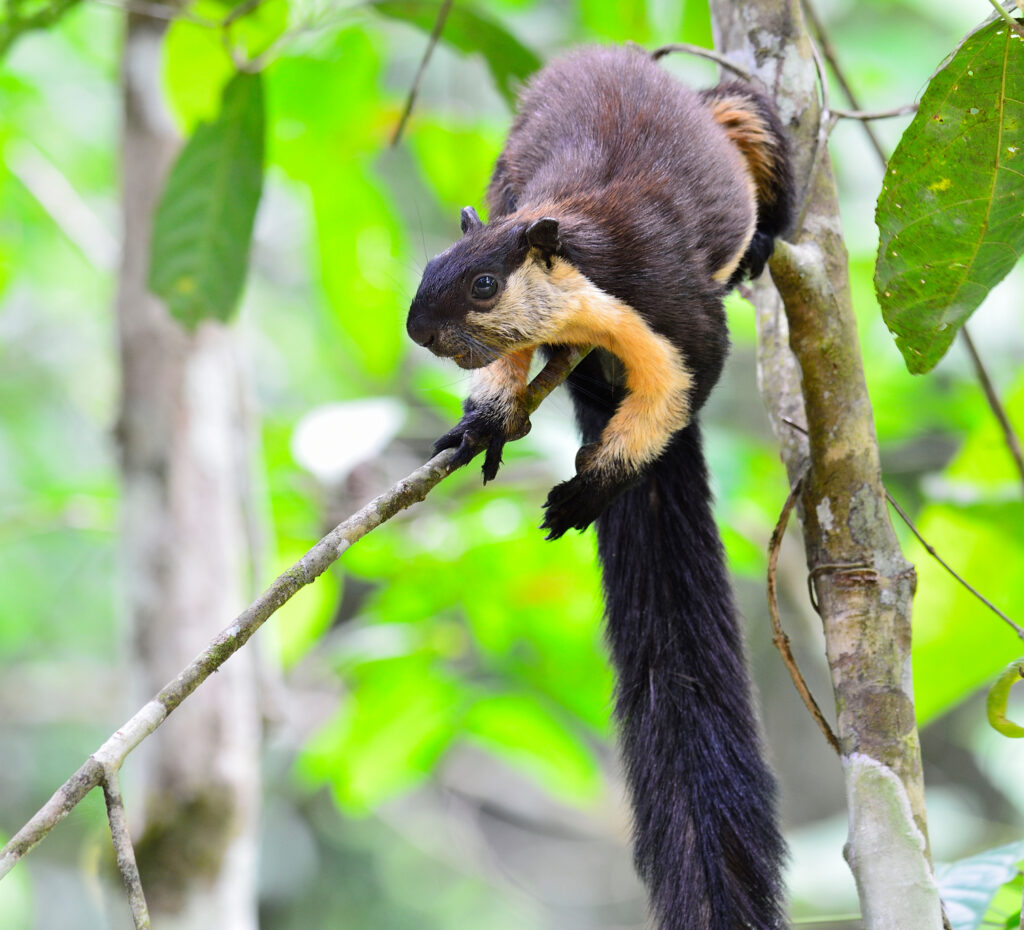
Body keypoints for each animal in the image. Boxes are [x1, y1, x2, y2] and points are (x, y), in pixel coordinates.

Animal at [407, 44, 793, 930]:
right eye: (429, 269)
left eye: (483, 285)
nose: (420, 330)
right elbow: (508, 379)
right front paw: (482, 425)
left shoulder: (669, 305)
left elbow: (687, 385)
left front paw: (589, 491)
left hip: (740, 115)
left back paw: (763, 243)